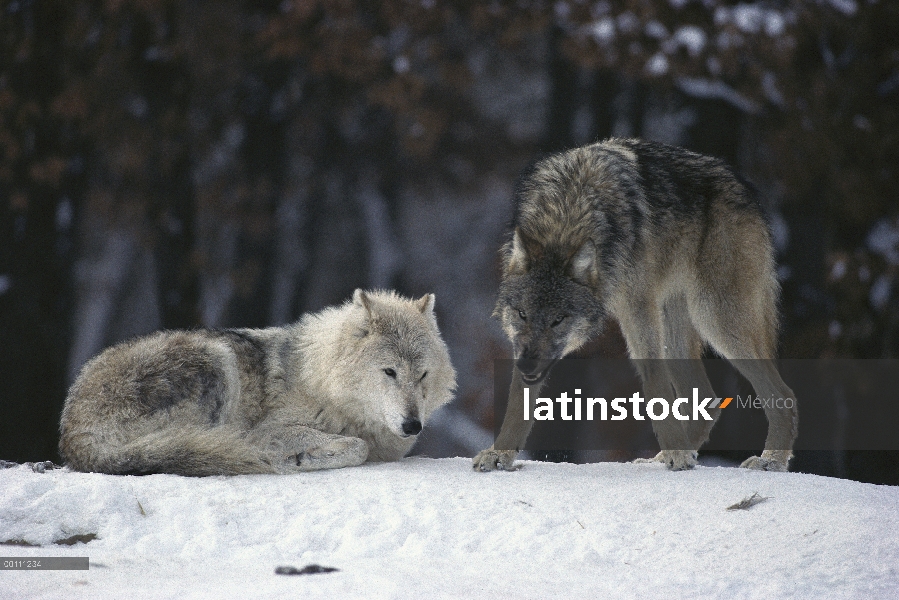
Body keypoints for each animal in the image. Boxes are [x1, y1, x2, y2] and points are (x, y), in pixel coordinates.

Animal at [59, 288, 458, 476]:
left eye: (422, 375)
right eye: (390, 372)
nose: (413, 425)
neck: (322, 382)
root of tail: (72, 433)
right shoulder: (270, 430)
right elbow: (356, 447)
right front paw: (303, 457)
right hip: (214, 358)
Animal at [474, 137, 800, 474]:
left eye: (558, 320)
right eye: (522, 314)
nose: (527, 365)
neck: (568, 215)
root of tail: (742, 184)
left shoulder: (638, 310)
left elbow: (654, 383)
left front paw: (678, 454)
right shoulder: (522, 345)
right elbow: (518, 395)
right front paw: (501, 454)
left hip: (716, 318)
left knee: (784, 395)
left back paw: (770, 460)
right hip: (676, 330)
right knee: (708, 400)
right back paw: (667, 456)